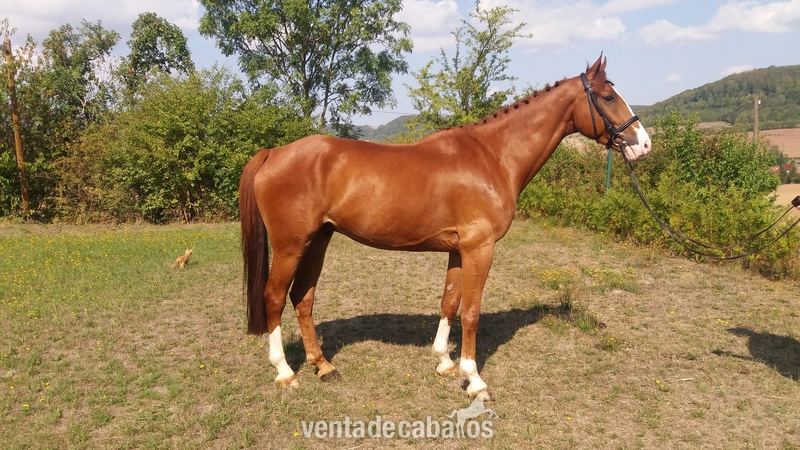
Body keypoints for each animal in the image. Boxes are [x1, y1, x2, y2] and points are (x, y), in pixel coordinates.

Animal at [238, 55, 651, 400]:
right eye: (608, 96)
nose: (643, 144)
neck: (492, 156)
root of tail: (274, 153)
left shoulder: (458, 249)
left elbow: (449, 302)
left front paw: (444, 362)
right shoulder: (479, 248)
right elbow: (471, 311)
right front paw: (475, 379)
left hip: (318, 240)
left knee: (302, 298)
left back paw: (323, 366)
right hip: (291, 244)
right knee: (274, 297)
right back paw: (285, 372)